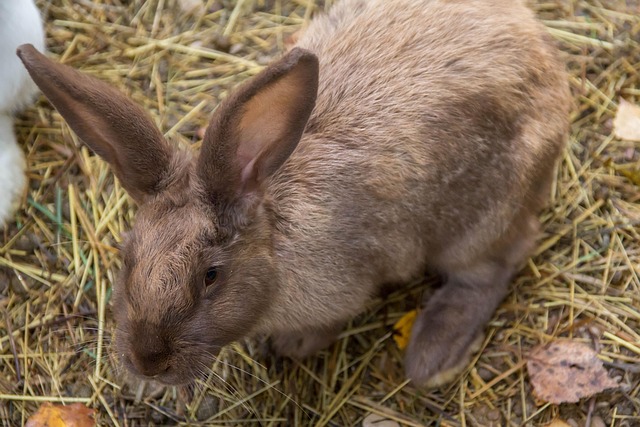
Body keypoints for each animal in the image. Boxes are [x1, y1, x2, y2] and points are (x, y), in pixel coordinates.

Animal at [17, 0, 570, 387]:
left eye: (211, 276)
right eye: (127, 259)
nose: (147, 361)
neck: (276, 243)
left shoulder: (343, 288)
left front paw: (293, 345)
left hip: (479, 221)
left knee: (497, 264)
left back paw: (432, 355)